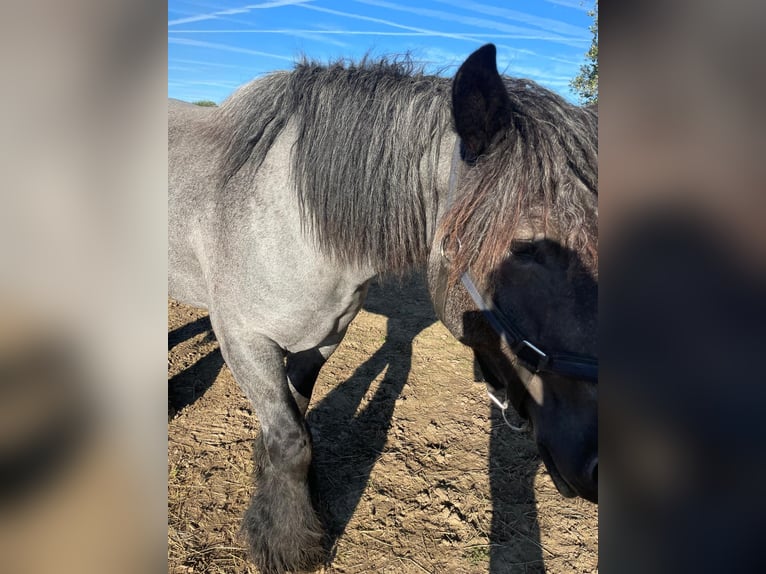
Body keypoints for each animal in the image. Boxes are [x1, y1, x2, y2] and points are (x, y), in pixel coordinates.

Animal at [168, 45, 600, 574]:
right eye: (525, 246)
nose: (599, 463)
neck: (289, 218)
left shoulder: (324, 337)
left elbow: (298, 416)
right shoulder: (244, 340)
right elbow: (290, 441)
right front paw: (286, 546)